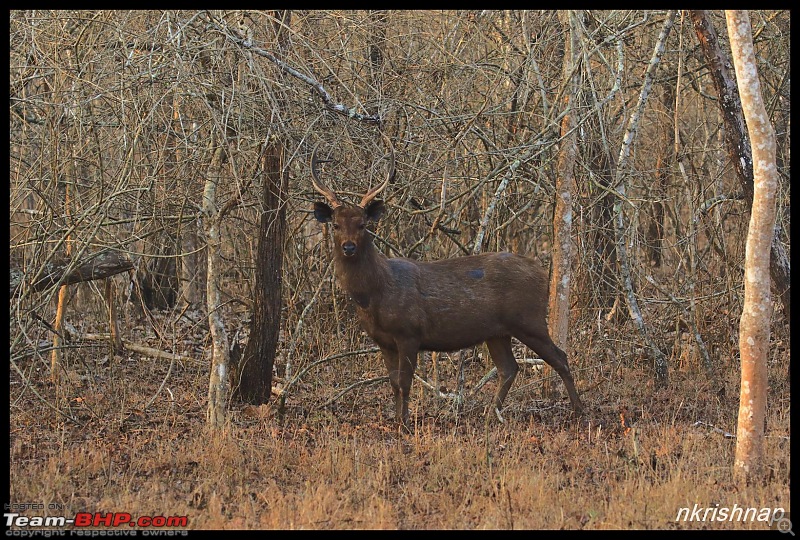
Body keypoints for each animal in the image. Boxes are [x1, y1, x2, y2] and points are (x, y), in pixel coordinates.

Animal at [310, 136, 584, 430]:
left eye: (362, 224)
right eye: (336, 225)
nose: (348, 247)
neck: (375, 293)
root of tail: (542, 272)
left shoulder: (409, 332)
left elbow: (404, 383)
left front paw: (405, 424)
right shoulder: (383, 341)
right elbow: (394, 383)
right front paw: (396, 421)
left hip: (528, 319)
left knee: (560, 357)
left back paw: (579, 411)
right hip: (497, 331)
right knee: (509, 367)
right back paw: (490, 415)